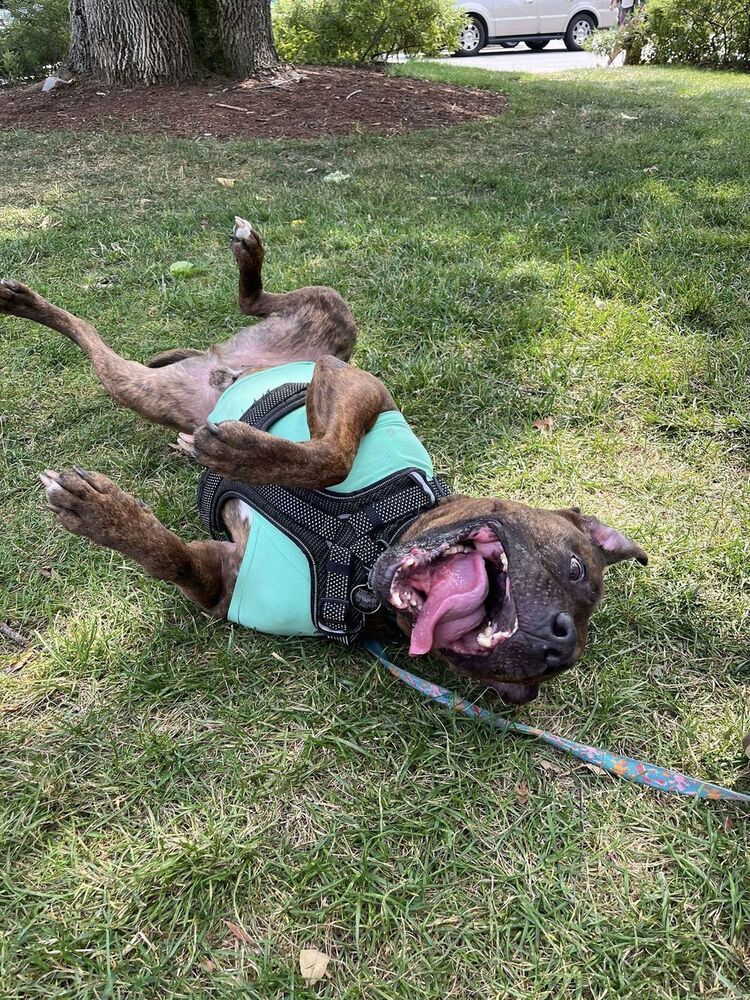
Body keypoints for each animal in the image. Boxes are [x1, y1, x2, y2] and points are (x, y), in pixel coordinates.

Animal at [0, 219, 648, 704]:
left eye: (544, 672)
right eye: (575, 568)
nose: (555, 637)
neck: (363, 550)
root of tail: (224, 362)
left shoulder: (220, 579)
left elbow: (168, 557)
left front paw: (98, 512)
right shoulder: (360, 387)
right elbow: (330, 457)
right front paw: (243, 453)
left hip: (145, 387)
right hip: (329, 325)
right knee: (189, 311)